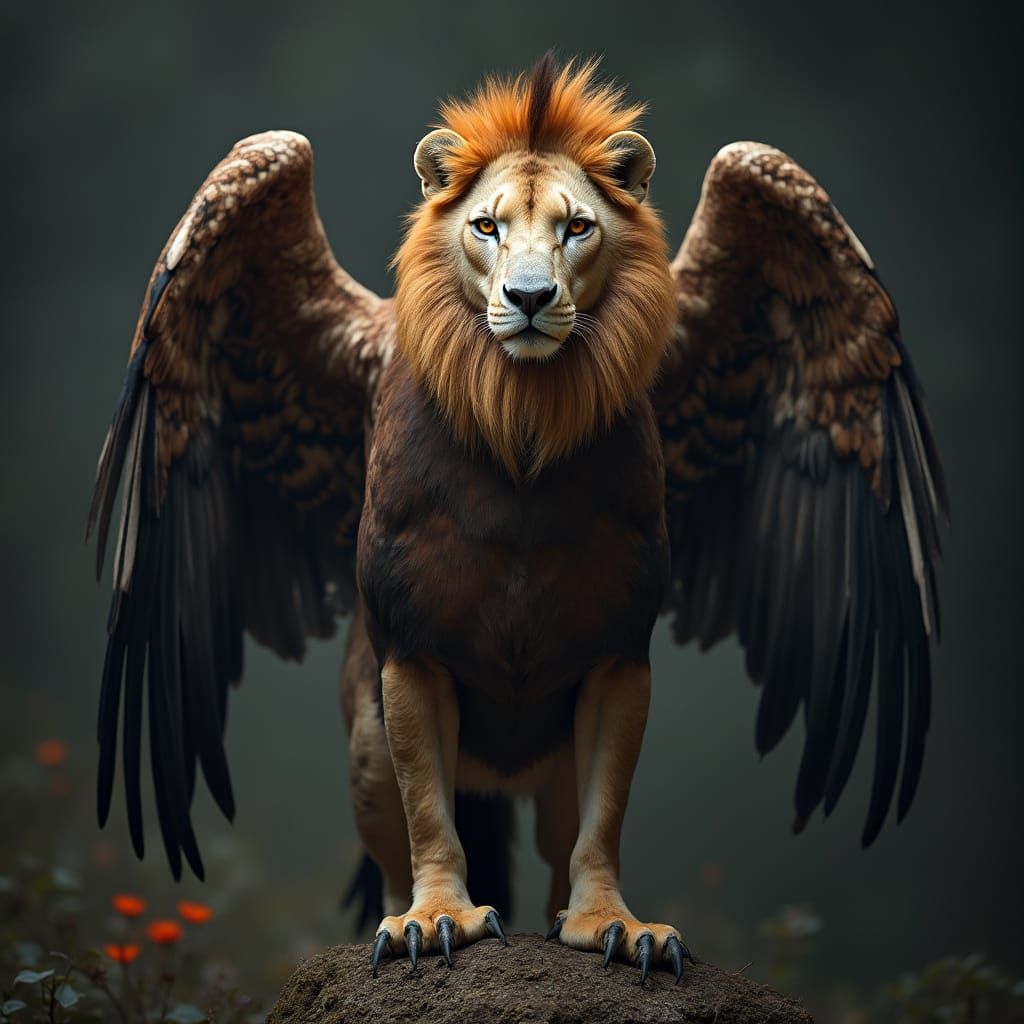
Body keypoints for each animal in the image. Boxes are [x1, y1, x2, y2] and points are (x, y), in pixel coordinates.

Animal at [88, 55, 947, 982]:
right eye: (486, 226)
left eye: (577, 227)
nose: (530, 296)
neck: (522, 412)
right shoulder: (411, 654)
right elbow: (430, 817)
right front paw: (435, 919)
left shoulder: (618, 657)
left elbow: (601, 826)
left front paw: (616, 925)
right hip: (363, 742)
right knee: (397, 847)